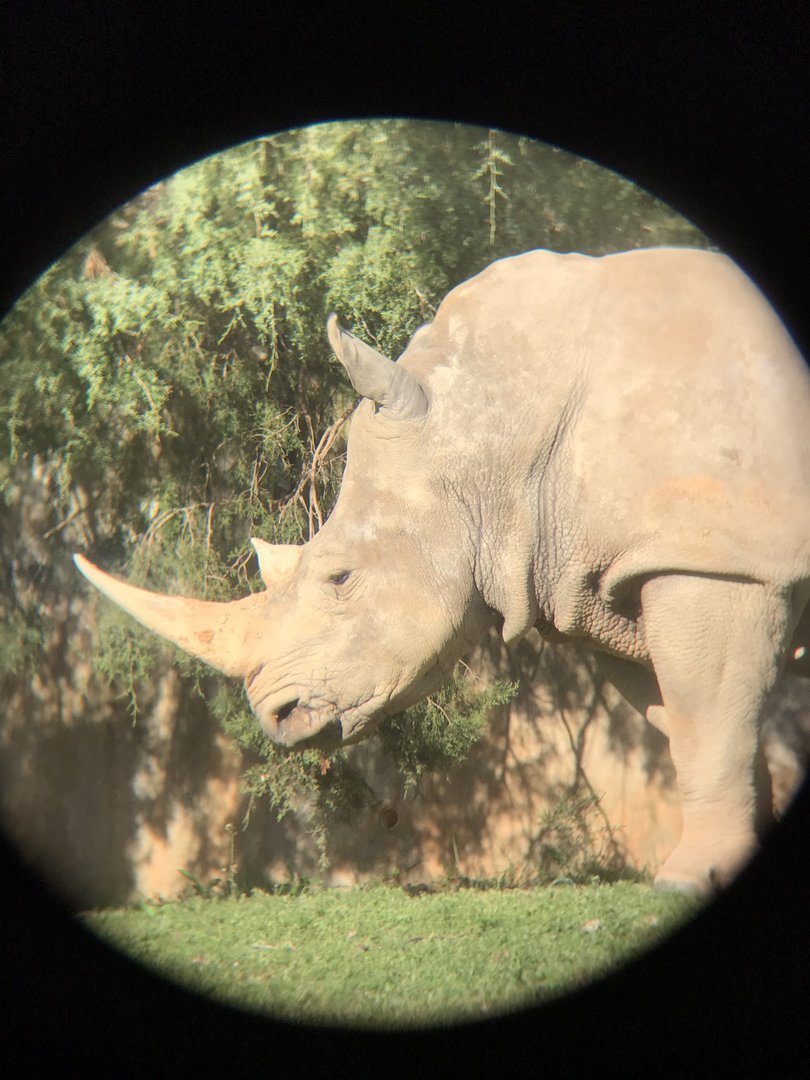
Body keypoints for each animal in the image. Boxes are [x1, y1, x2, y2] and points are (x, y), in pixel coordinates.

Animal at [74, 247, 810, 893]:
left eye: (340, 578)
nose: (274, 716)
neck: (494, 428)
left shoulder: (716, 560)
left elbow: (706, 718)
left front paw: (684, 879)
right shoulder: (616, 572)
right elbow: (692, 719)